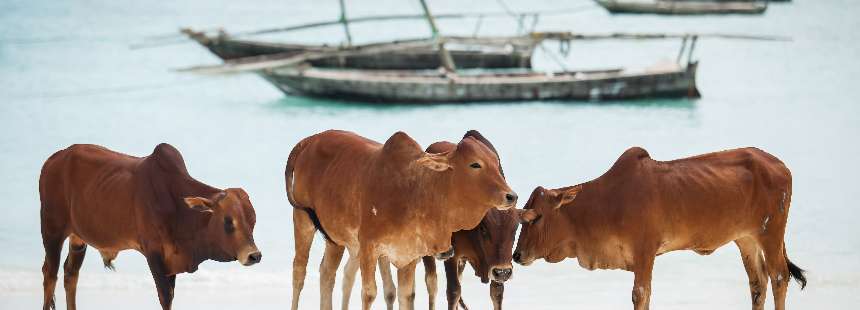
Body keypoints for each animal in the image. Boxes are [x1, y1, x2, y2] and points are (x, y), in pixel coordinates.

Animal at [40, 144, 260, 308]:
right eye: (228, 220)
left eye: (253, 220)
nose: (254, 255)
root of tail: (54, 159)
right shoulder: (154, 254)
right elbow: (165, 297)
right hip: (51, 229)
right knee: (50, 273)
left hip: (78, 238)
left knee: (70, 274)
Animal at [286, 130, 512, 310]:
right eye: (475, 164)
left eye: (496, 163)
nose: (512, 196)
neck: (415, 191)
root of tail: (309, 140)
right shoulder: (369, 248)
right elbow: (369, 293)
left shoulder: (409, 256)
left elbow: (407, 296)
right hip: (303, 220)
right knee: (299, 272)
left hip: (336, 239)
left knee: (327, 273)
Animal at [510, 147, 808, 310]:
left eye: (536, 217)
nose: (517, 255)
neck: (605, 203)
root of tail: (780, 165)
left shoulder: (645, 251)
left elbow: (640, 294)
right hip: (746, 238)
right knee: (758, 282)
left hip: (771, 233)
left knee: (779, 276)